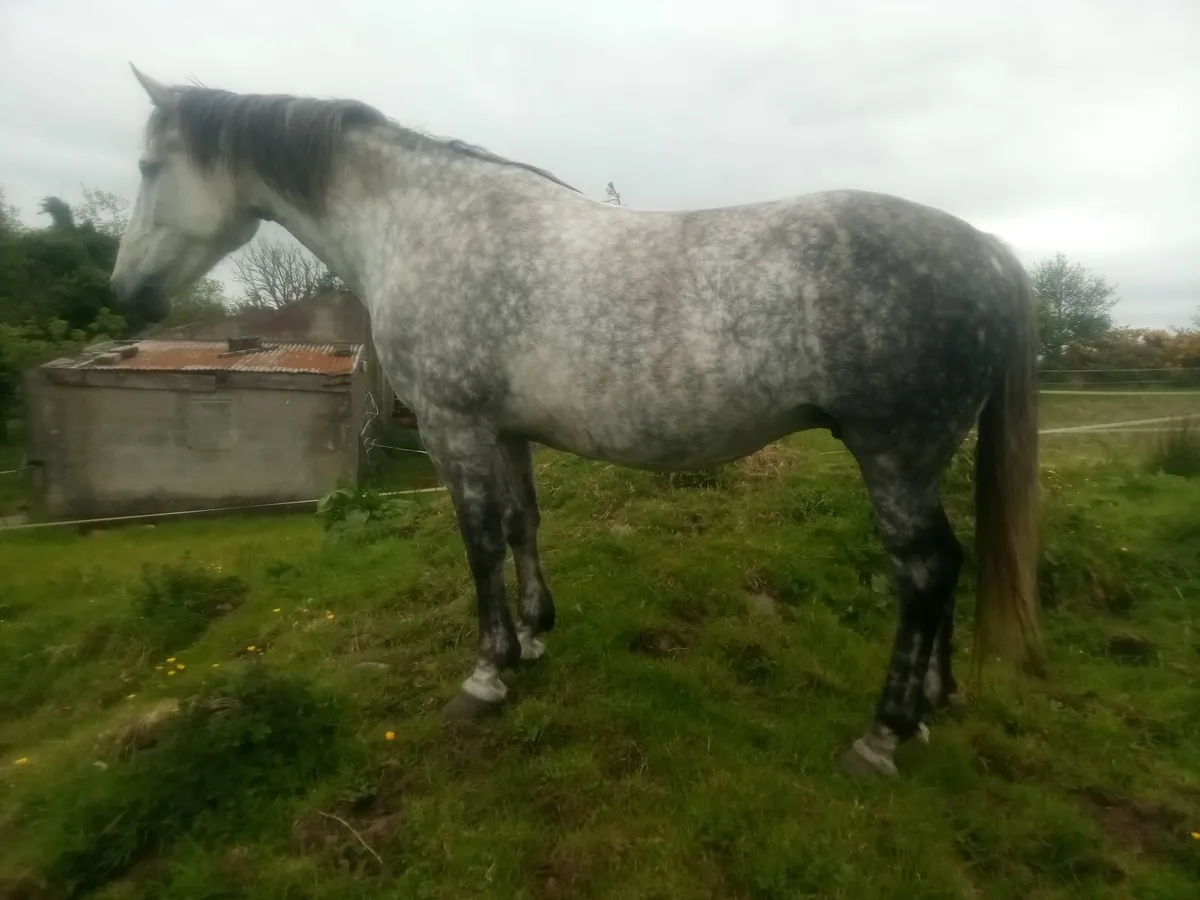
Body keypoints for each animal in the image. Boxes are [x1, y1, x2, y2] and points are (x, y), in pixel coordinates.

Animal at [109, 64, 1041, 777]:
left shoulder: (452, 426)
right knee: (946, 567)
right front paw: (534, 637)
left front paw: (486, 675)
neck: (422, 225)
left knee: (923, 574)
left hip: (894, 457)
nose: (126, 294)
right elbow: (523, 523)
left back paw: (882, 735)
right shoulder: (505, 430)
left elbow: (480, 540)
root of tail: (993, 254)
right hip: (921, 460)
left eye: (151, 167)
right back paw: (932, 705)